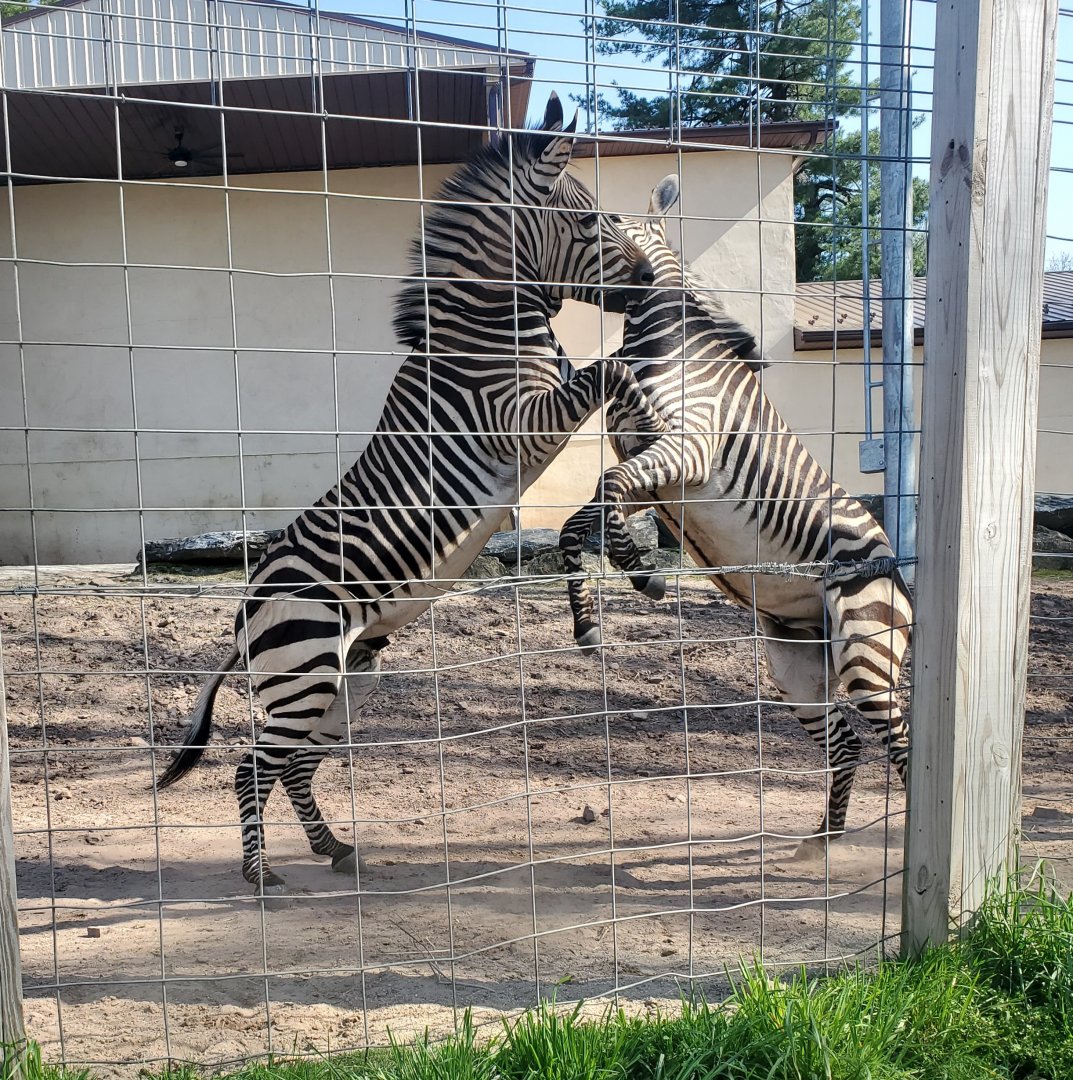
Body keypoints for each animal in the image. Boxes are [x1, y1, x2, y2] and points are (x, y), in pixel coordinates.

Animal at [155, 94, 668, 894]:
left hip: (343, 676)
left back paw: (333, 848)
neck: (488, 329)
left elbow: (607, 392)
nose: (649, 287)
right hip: (305, 675)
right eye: (592, 224)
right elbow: (609, 370)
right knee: (251, 766)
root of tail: (242, 613)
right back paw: (259, 873)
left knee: (293, 766)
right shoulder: (519, 424)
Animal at [557, 174, 913, 852]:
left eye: (599, 220)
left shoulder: (686, 450)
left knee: (904, 742)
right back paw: (822, 839)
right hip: (799, 665)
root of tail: (899, 572)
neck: (668, 341)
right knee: (848, 741)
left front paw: (641, 572)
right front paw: (588, 621)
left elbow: (606, 495)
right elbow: (578, 522)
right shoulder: (654, 475)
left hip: (865, 651)